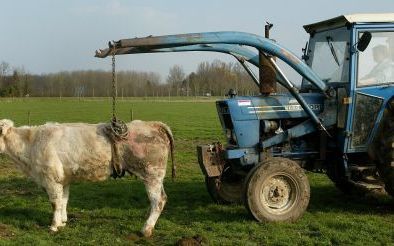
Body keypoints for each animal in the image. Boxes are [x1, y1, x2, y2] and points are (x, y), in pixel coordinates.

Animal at [0, 118, 174, 237]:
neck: (31, 144)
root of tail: (154, 124)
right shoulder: (64, 179)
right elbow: (63, 201)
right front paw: (62, 222)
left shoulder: (51, 179)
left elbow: (55, 203)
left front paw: (54, 226)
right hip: (156, 176)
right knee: (161, 198)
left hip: (151, 174)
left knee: (158, 200)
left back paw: (146, 229)